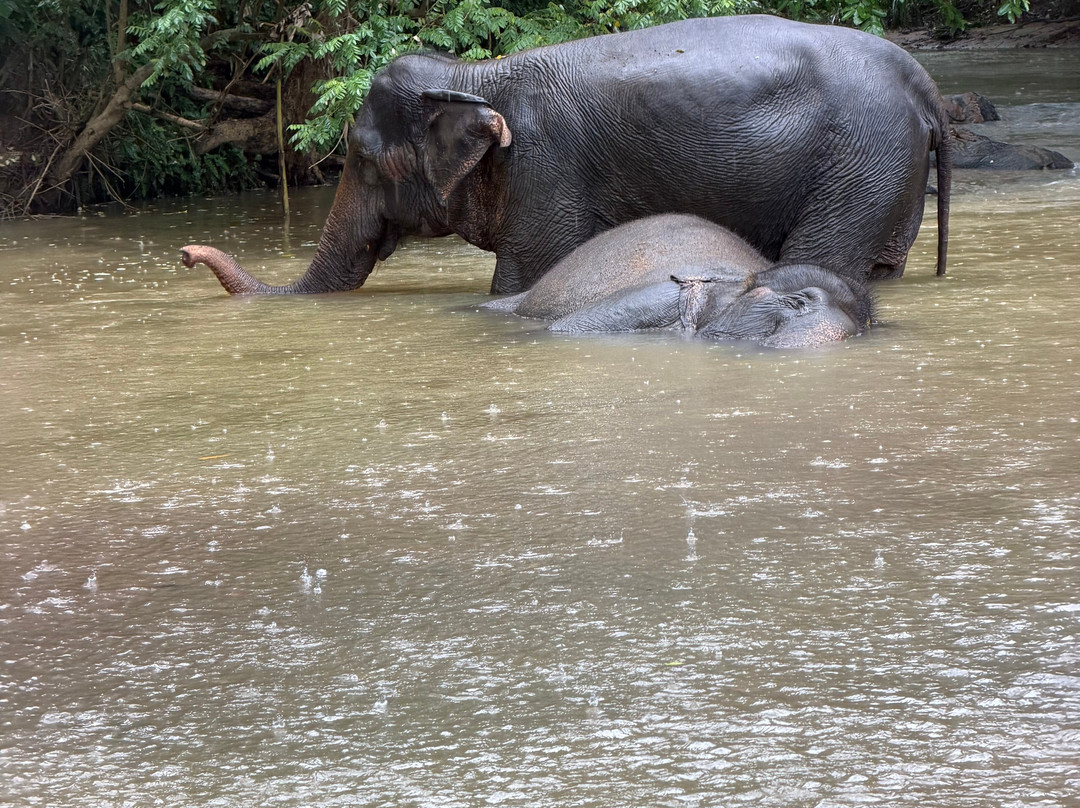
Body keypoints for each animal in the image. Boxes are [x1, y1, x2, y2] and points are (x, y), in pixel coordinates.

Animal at [180, 15, 952, 297]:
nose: (185, 254)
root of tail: (925, 86)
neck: (478, 75)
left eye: (364, 158)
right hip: (887, 174)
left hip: (860, 163)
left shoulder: (546, 171)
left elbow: (522, 280)